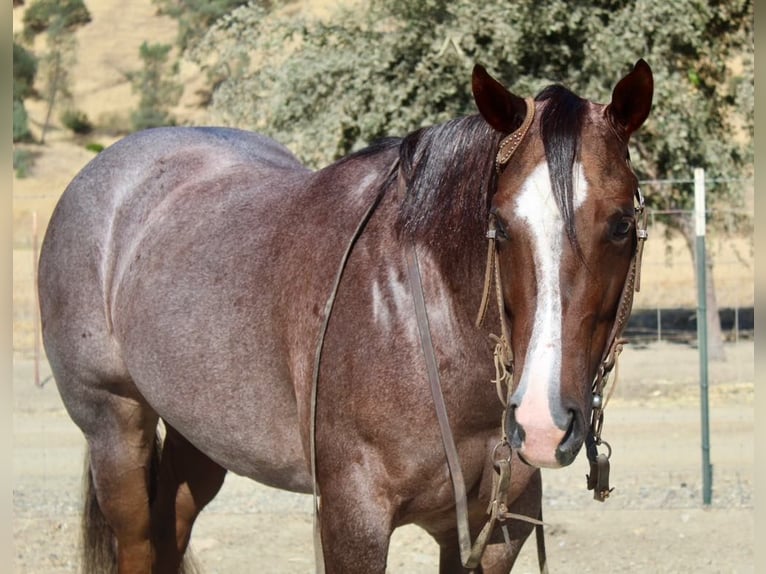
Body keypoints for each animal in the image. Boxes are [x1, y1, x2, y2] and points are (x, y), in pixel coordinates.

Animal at [37, 59, 653, 573]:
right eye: (498, 226)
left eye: (622, 223)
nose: (544, 425)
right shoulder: (353, 521)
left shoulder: (494, 533)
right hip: (114, 426)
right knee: (139, 539)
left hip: (202, 435)